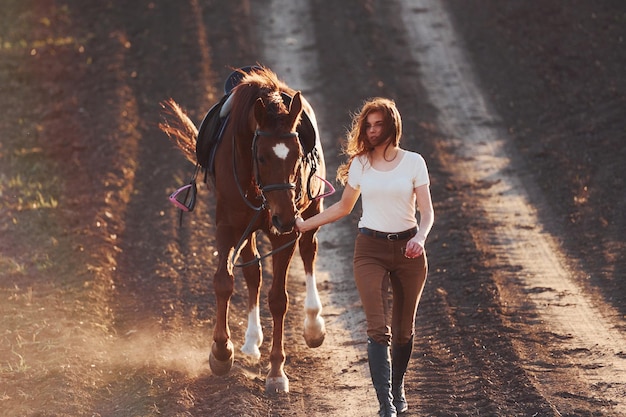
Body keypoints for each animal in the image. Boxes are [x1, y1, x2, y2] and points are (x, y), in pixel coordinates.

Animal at [160, 66, 326, 392]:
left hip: (311, 209)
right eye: (261, 156)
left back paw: (313, 324)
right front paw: (221, 352)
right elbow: (224, 281)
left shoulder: (284, 234)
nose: (284, 217)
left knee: (309, 250)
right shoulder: (227, 224)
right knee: (253, 271)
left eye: (297, 154)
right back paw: (251, 342)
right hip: (250, 228)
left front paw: (276, 372)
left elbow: (279, 299)